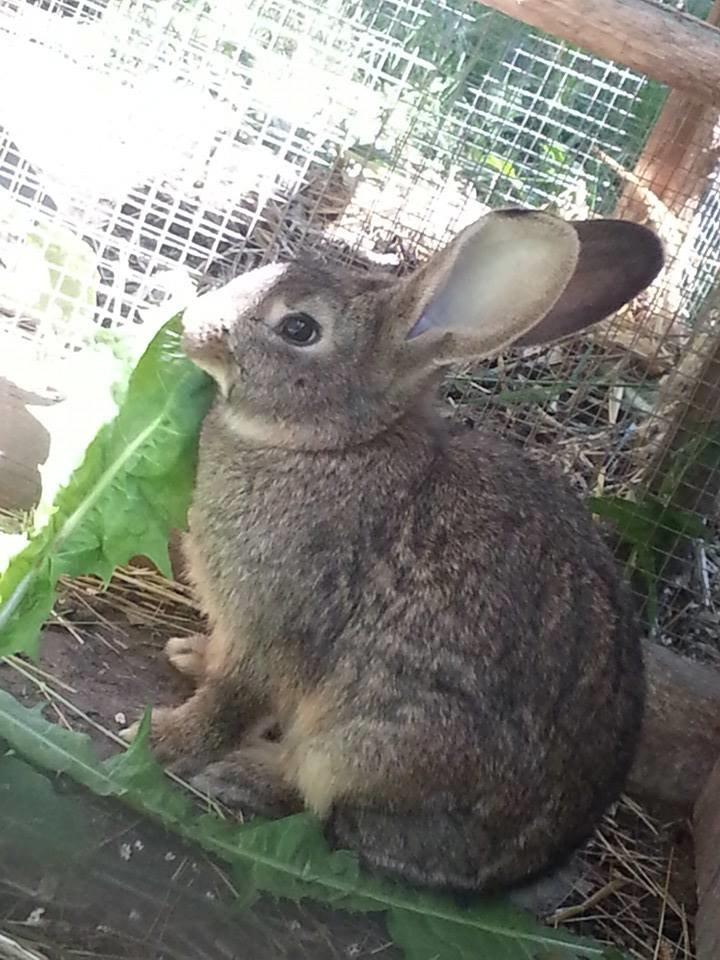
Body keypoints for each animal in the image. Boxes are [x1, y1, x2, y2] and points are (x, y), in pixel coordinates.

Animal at [119, 206, 664, 896]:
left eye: (299, 327)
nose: (195, 327)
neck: (337, 444)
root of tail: (520, 871)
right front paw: (190, 654)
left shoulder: (276, 629)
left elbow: (231, 702)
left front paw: (159, 738)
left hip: (373, 743)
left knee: (325, 805)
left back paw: (243, 774)